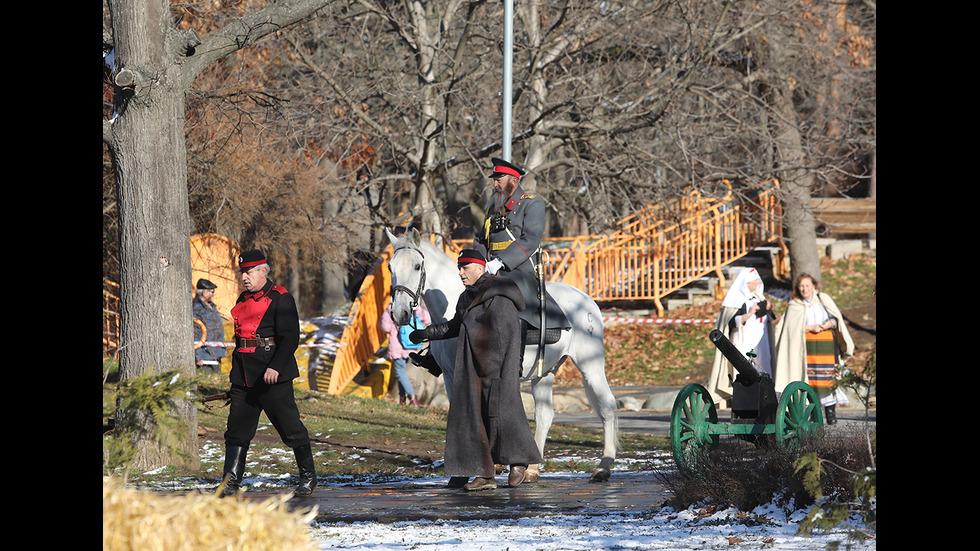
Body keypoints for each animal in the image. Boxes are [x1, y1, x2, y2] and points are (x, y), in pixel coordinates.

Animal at [384, 229, 620, 484]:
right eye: (390, 267)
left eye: (417, 266)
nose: (399, 313)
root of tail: (586, 299)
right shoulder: (449, 375)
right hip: (544, 372)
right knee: (545, 414)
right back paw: (533, 468)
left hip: (591, 365)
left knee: (607, 406)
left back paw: (603, 466)